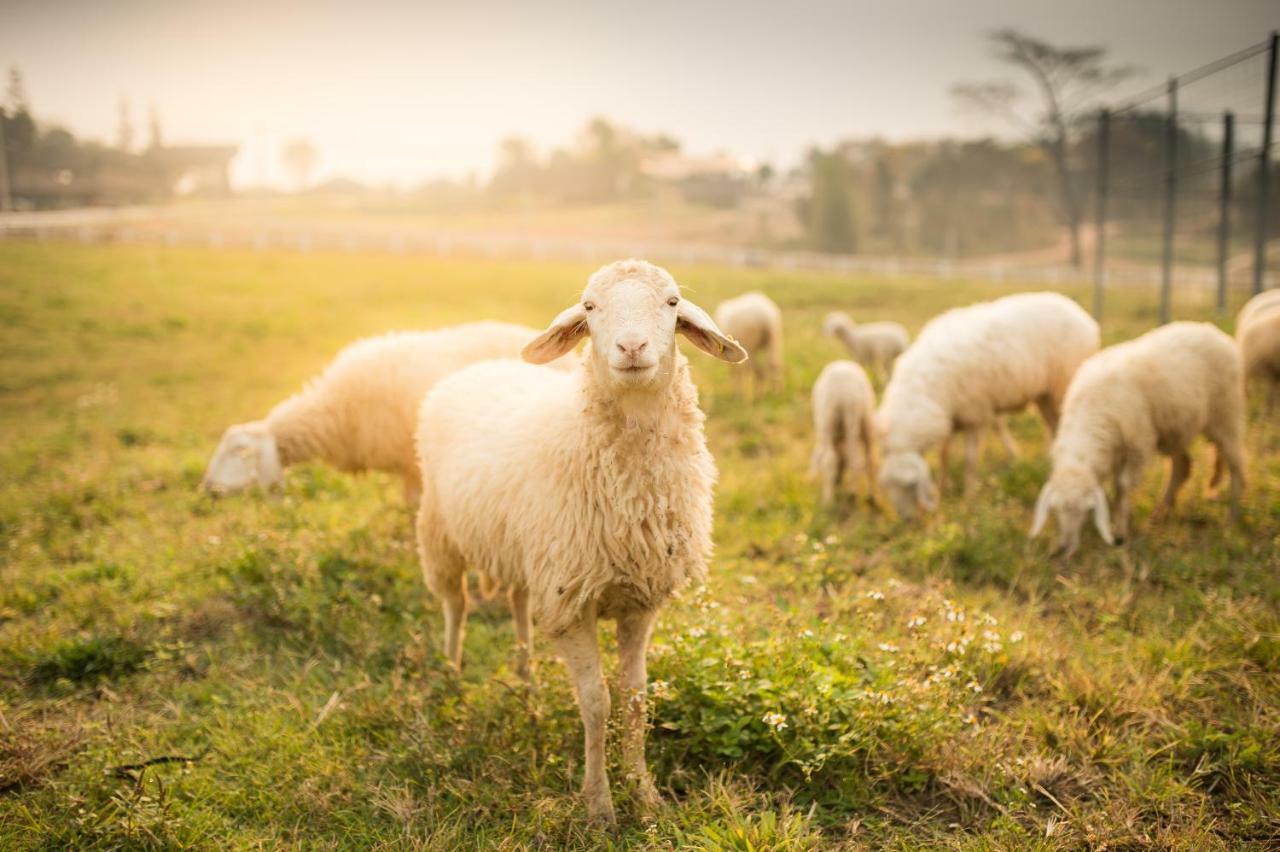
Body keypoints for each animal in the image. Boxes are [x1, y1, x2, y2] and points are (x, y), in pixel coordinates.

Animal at [409, 258, 747, 823]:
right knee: (456, 606)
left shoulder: (637, 601)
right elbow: (596, 704)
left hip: (529, 554)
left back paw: (525, 678)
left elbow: (634, 697)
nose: (632, 347)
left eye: (672, 302)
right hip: (440, 532)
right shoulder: (571, 604)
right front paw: (599, 806)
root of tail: (479, 367)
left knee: (519, 603)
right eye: (590, 307)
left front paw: (644, 793)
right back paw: (451, 671)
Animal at [808, 358, 880, 504]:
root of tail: (844, 392)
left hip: (832, 418)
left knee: (833, 458)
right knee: (860, 458)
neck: (840, 440)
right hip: (856, 418)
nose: (837, 481)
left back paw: (831, 499)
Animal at [880, 291, 1100, 516]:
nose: (906, 518)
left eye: (911, 484)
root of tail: (1078, 312)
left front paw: (968, 498)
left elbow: (970, 460)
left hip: (1063, 385)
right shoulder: (950, 418)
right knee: (1053, 425)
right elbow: (944, 456)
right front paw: (942, 490)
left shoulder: (976, 415)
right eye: (887, 486)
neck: (926, 389)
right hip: (1045, 394)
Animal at [1029, 322, 1249, 555]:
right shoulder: (1115, 451)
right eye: (1055, 509)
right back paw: (1161, 513)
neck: (1090, 414)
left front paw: (1121, 531)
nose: (1065, 548)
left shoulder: (1139, 444)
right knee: (1183, 466)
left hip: (1227, 416)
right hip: (1177, 428)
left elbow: (1122, 486)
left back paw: (1232, 519)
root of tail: (1214, 331)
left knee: (1236, 466)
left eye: (1088, 508)